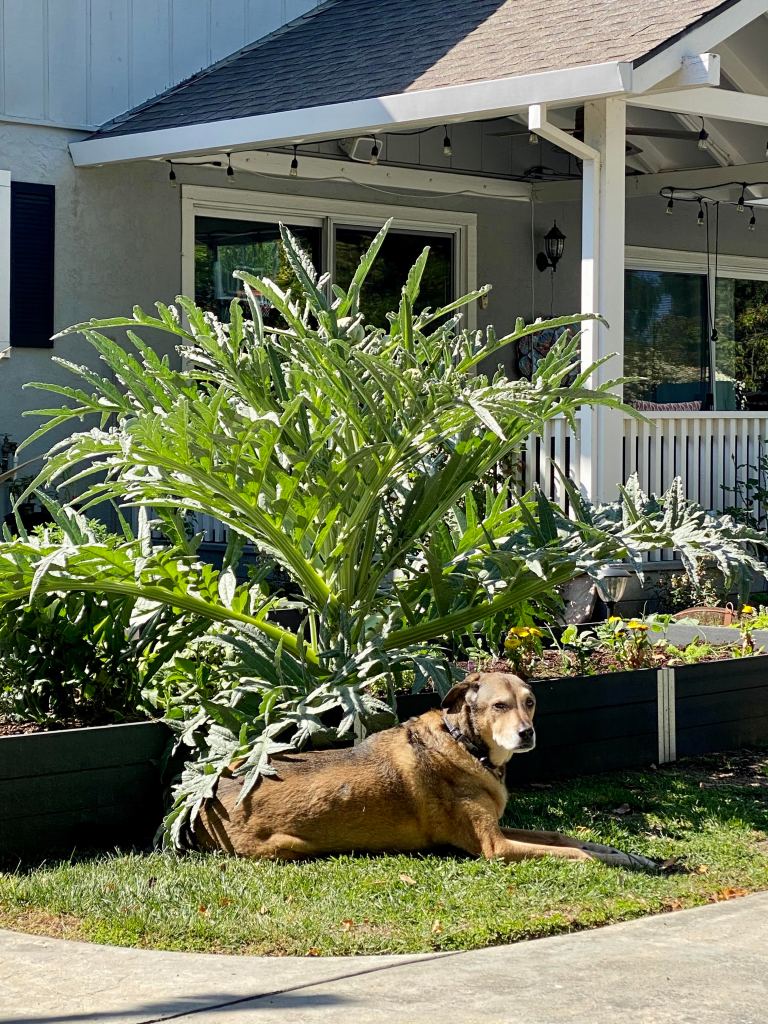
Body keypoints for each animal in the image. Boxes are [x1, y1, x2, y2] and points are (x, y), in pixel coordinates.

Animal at [195, 671, 656, 870]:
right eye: (499, 706)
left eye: (530, 702)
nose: (527, 734)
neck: (466, 745)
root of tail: (202, 804)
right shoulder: (496, 847)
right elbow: (575, 853)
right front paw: (620, 862)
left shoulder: (501, 829)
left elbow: (567, 837)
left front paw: (633, 855)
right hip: (285, 846)